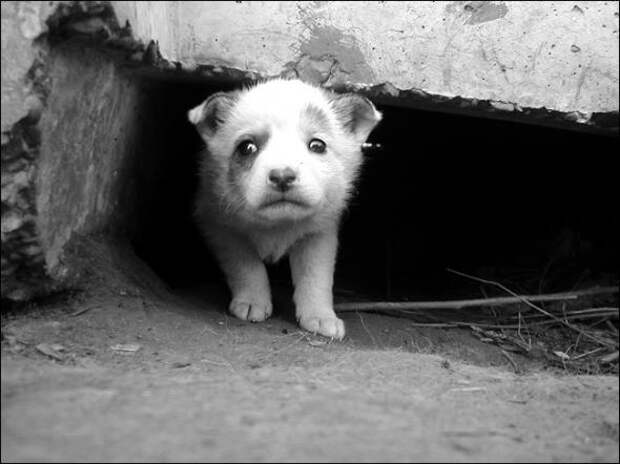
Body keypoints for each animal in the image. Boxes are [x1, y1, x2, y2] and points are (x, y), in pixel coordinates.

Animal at [188, 79, 382, 340]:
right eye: (247, 147)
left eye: (317, 145)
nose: (282, 176)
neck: (279, 223)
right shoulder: (219, 226)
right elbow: (246, 265)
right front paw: (252, 301)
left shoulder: (319, 235)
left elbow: (315, 277)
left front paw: (320, 317)